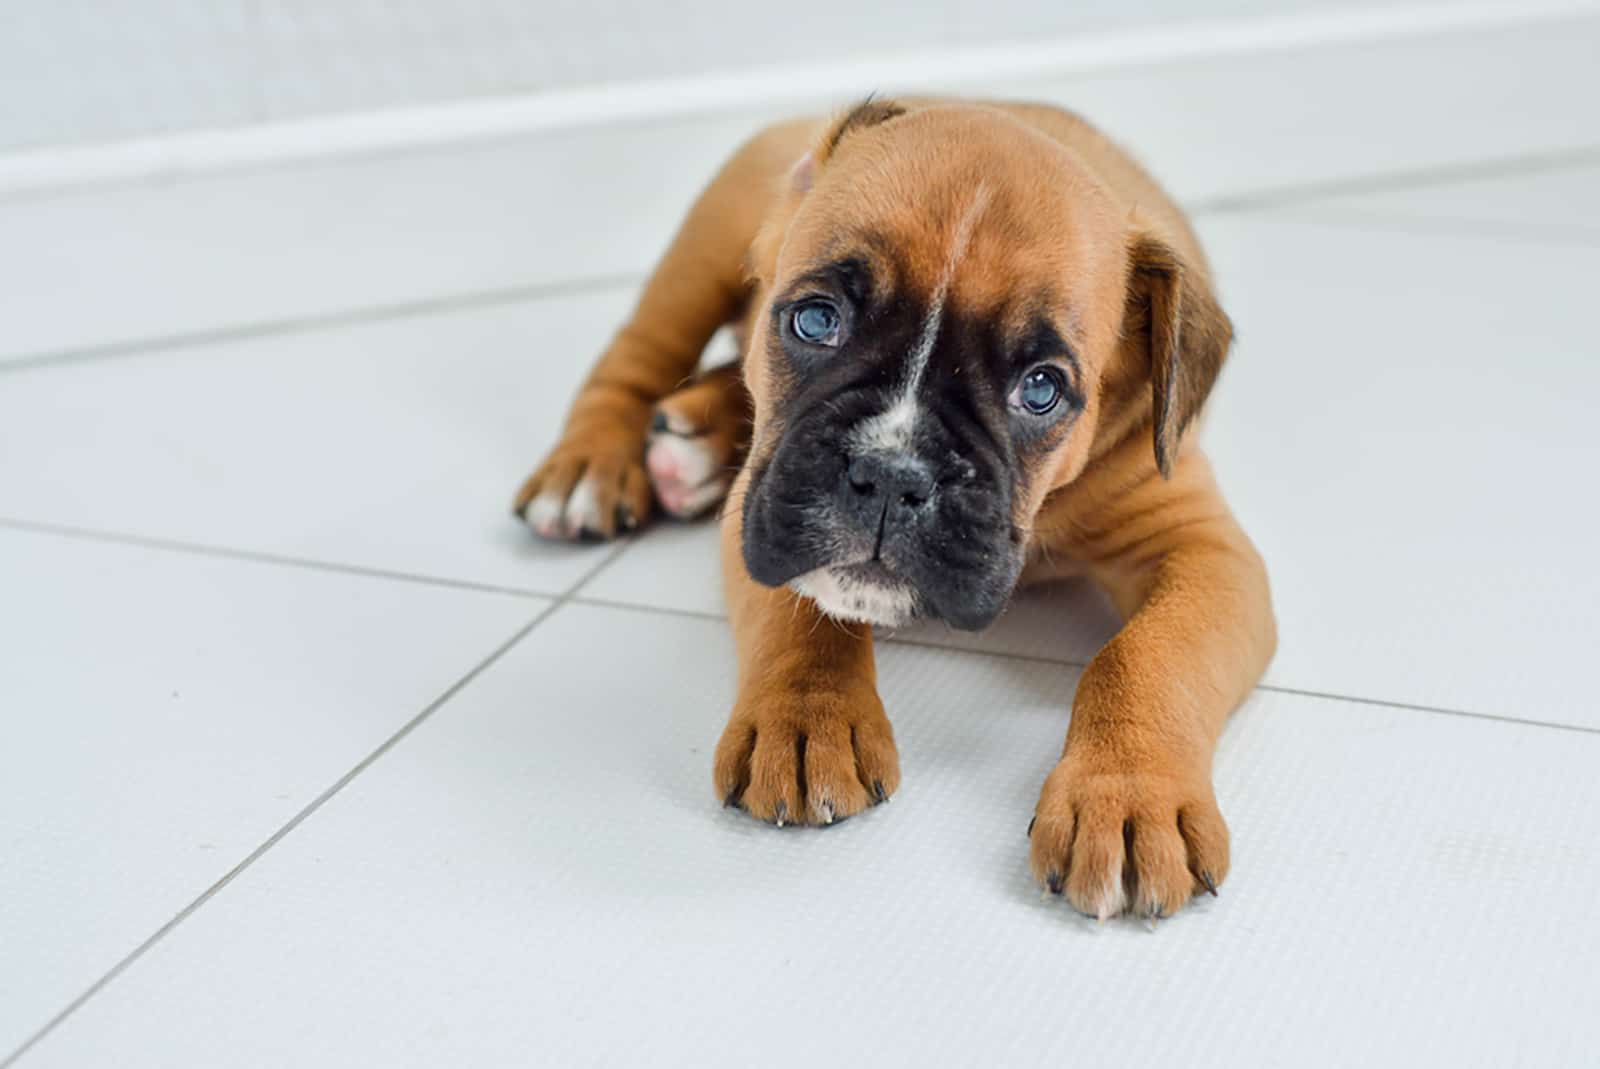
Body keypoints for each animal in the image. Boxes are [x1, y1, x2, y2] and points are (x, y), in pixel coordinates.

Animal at [518, 98, 1280, 921]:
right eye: (816, 321)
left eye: (1042, 388)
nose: (890, 474)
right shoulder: (767, 496)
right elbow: (801, 612)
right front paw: (804, 718)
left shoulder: (1201, 549)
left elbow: (1147, 654)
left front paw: (1129, 793)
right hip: (708, 244)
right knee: (637, 354)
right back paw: (592, 468)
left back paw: (690, 439)